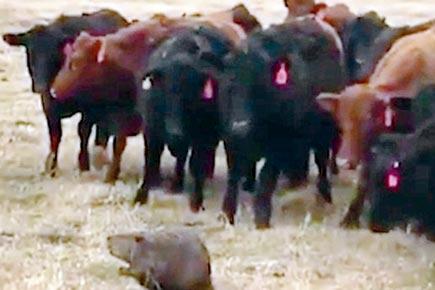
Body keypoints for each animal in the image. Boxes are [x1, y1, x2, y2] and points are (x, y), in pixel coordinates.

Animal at [2, 9, 129, 174]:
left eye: (53, 53)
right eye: (29, 52)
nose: (39, 86)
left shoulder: (89, 108)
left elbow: (83, 131)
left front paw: (83, 164)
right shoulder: (49, 105)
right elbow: (55, 134)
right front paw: (51, 167)